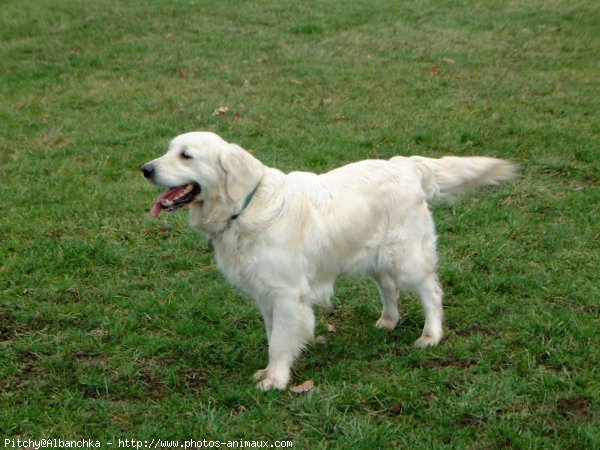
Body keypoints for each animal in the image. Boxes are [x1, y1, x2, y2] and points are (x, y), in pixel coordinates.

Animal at [142, 131, 516, 390]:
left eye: (186, 155)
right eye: (168, 150)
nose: (145, 168)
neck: (243, 207)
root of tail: (404, 163)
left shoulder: (286, 294)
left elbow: (280, 341)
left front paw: (276, 380)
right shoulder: (265, 295)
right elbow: (273, 335)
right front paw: (269, 372)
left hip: (406, 256)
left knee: (431, 292)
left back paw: (430, 336)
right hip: (374, 257)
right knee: (389, 288)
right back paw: (388, 320)